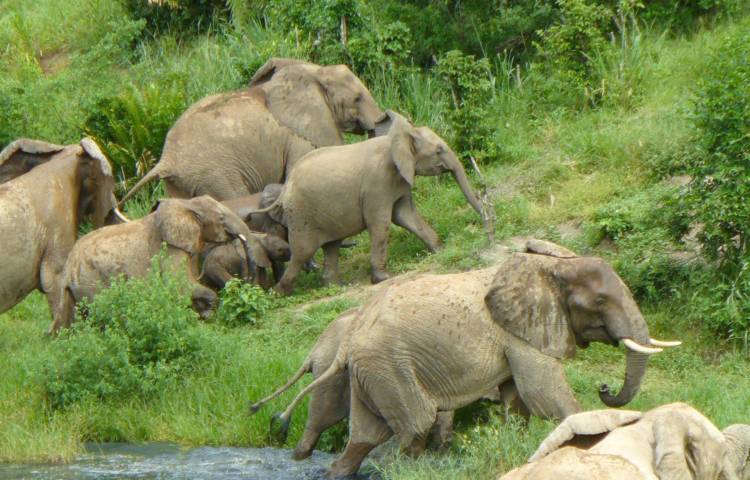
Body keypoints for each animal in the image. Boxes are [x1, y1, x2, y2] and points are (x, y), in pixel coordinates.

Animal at [49, 195, 270, 334]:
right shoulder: (169, 249)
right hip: (91, 281)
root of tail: (67, 270)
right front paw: (207, 314)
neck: (186, 204)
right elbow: (181, 286)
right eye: (222, 218)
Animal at [119, 58, 388, 204]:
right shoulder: (299, 137)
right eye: (356, 98)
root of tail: (166, 160)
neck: (314, 72)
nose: (380, 120)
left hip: (181, 183)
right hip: (215, 174)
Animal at [268, 110, 484, 294]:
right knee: (302, 253)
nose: (484, 220)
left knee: (332, 245)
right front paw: (383, 278)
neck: (399, 138)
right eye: (439, 150)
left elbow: (406, 216)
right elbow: (381, 222)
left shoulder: (399, 179)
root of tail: (285, 188)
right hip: (301, 215)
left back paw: (337, 286)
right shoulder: (377, 182)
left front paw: (440, 250)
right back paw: (278, 293)